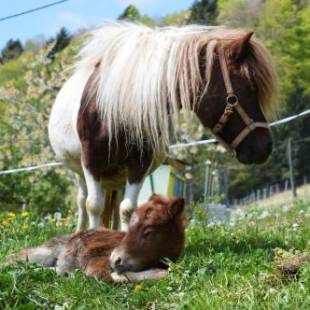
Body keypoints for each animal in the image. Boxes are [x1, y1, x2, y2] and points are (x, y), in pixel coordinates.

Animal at [9, 196, 184, 284]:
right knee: (14, 259)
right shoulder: (97, 261)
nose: (115, 259)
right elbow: (107, 276)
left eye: (149, 232)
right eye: (129, 228)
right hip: (41, 255)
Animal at [49, 21, 278, 230]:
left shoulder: (139, 163)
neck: (119, 106)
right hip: (79, 171)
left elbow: (127, 209)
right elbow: (93, 205)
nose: (266, 147)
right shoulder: (91, 159)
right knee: (83, 201)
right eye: (250, 88)